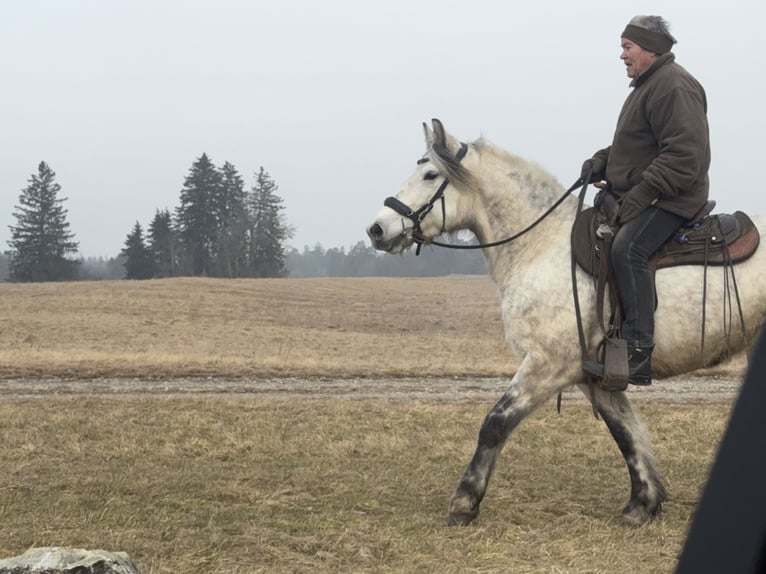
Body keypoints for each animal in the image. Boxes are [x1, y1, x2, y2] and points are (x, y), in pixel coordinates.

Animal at [366, 118, 766, 527]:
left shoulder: (548, 365)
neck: (540, 246)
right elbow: (626, 433)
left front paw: (464, 503)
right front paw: (642, 503)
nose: (377, 229)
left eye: (430, 174)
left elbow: (495, 422)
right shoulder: (596, 376)